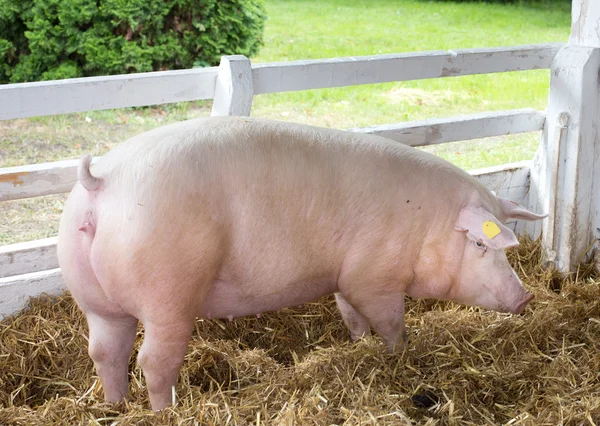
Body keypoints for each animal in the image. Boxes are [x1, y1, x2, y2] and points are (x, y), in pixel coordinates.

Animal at [58, 115, 548, 410]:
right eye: (482, 245)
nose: (525, 299)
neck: (428, 224)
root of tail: (102, 181)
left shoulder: (346, 277)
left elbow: (352, 317)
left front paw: (359, 345)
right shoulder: (374, 277)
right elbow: (392, 325)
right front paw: (399, 356)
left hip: (93, 297)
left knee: (105, 352)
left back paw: (116, 406)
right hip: (168, 292)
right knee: (153, 360)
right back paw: (166, 411)